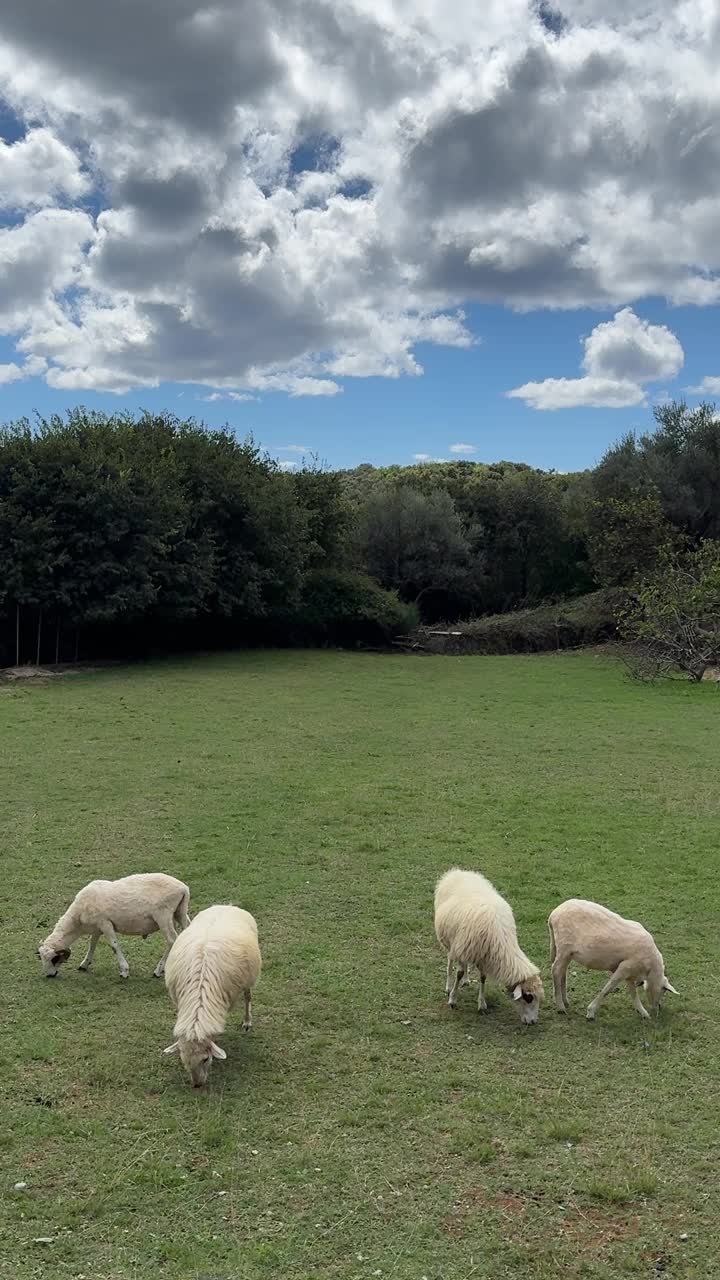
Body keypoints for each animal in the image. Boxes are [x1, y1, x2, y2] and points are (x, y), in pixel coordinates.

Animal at [38, 870, 190, 977]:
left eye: (54, 959)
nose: (49, 975)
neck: (78, 918)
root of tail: (183, 888)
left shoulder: (105, 923)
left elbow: (114, 946)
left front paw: (124, 970)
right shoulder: (97, 927)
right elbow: (92, 945)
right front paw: (84, 964)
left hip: (163, 915)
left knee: (172, 940)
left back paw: (158, 970)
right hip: (180, 912)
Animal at [162, 901, 260, 1090]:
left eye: (206, 1059)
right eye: (183, 1060)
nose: (197, 1085)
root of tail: (227, 905)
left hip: (249, 979)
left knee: (248, 997)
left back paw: (247, 1021)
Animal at [430, 865, 538, 1024]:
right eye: (528, 997)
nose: (532, 1022)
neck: (501, 938)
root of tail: (458, 872)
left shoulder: (482, 954)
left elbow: (482, 977)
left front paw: (481, 1004)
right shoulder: (464, 948)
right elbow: (458, 973)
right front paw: (452, 999)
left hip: (466, 945)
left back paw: (466, 980)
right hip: (451, 941)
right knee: (450, 960)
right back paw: (448, 986)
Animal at [545, 901, 676, 1018]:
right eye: (663, 991)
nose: (658, 1008)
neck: (650, 968)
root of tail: (553, 915)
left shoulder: (629, 971)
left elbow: (633, 993)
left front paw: (643, 1012)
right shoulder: (625, 967)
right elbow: (608, 988)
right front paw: (590, 1012)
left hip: (567, 952)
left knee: (562, 972)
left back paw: (565, 1001)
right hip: (564, 947)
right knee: (556, 971)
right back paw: (560, 1007)